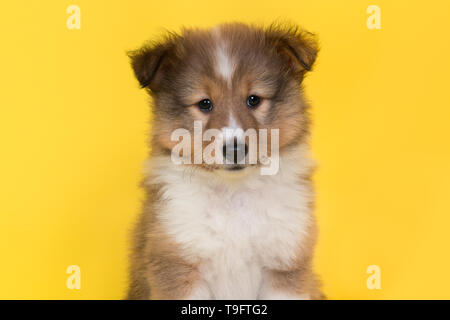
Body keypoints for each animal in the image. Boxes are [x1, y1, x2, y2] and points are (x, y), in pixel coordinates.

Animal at [126, 22, 324, 300]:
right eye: (204, 103)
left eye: (254, 99)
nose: (235, 149)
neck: (234, 194)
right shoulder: (177, 265)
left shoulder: (285, 263)